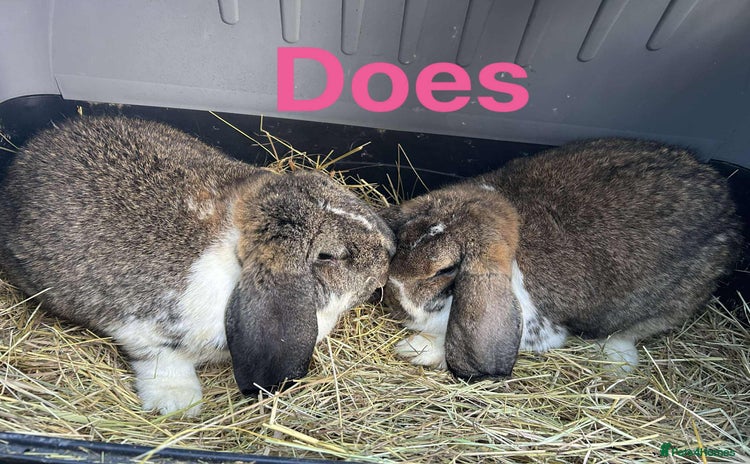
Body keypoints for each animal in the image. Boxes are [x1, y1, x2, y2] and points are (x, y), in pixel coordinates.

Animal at [0, 116, 395, 416]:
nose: (390, 249)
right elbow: (161, 361)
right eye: (330, 256)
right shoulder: (144, 330)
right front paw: (178, 405)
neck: (236, 246)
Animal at [382, 138, 741, 379]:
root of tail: (728, 207)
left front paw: (415, 349)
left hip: (667, 306)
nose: (392, 293)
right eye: (402, 239)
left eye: (444, 270)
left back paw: (616, 361)